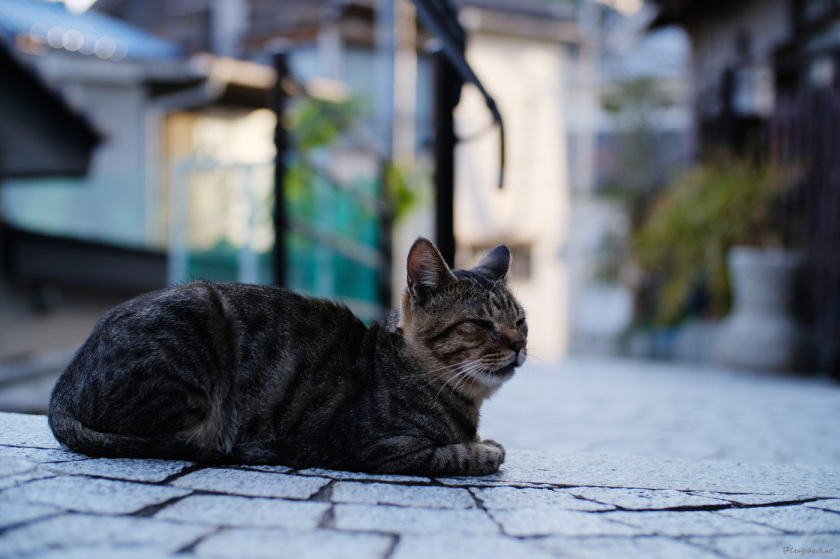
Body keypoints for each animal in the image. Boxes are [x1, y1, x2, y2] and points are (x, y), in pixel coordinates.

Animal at [47, 237, 524, 476]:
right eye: (481, 324)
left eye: (520, 321)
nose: (519, 345)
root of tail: (61, 392)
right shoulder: (379, 448)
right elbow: (456, 455)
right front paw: (484, 449)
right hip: (202, 314)